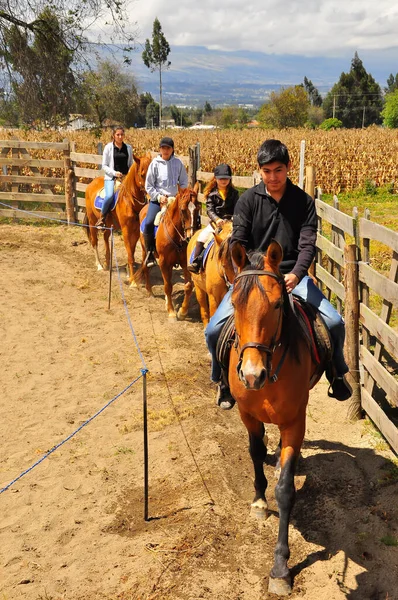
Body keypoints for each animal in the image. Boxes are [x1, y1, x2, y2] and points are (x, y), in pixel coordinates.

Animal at [84, 154, 152, 288]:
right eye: (142, 174)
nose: (150, 195)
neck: (130, 201)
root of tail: (91, 184)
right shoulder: (126, 231)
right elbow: (130, 255)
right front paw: (133, 281)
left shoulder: (136, 231)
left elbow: (131, 252)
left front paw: (129, 275)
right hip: (92, 222)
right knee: (94, 242)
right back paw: (99, 265)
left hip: (109, 225)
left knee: (105, 238)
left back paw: (107, 263)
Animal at [138, 184, 201, 318]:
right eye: (183, 210)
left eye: (198, 208)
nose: (190, 236)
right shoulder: (163, 262)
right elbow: (167, 286)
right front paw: (171, 311)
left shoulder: (183, 262)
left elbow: (188, 286)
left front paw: (182, 311)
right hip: (145, 250)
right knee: (145, 268)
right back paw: (150, 292)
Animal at [225, 241, 324, 596]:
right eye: (233, 302)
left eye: (279, 303)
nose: (253, 375)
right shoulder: (247, 415)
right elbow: (255, 453)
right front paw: (258, 502)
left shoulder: (295, 422)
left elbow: (285, 490)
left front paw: (280, 567)